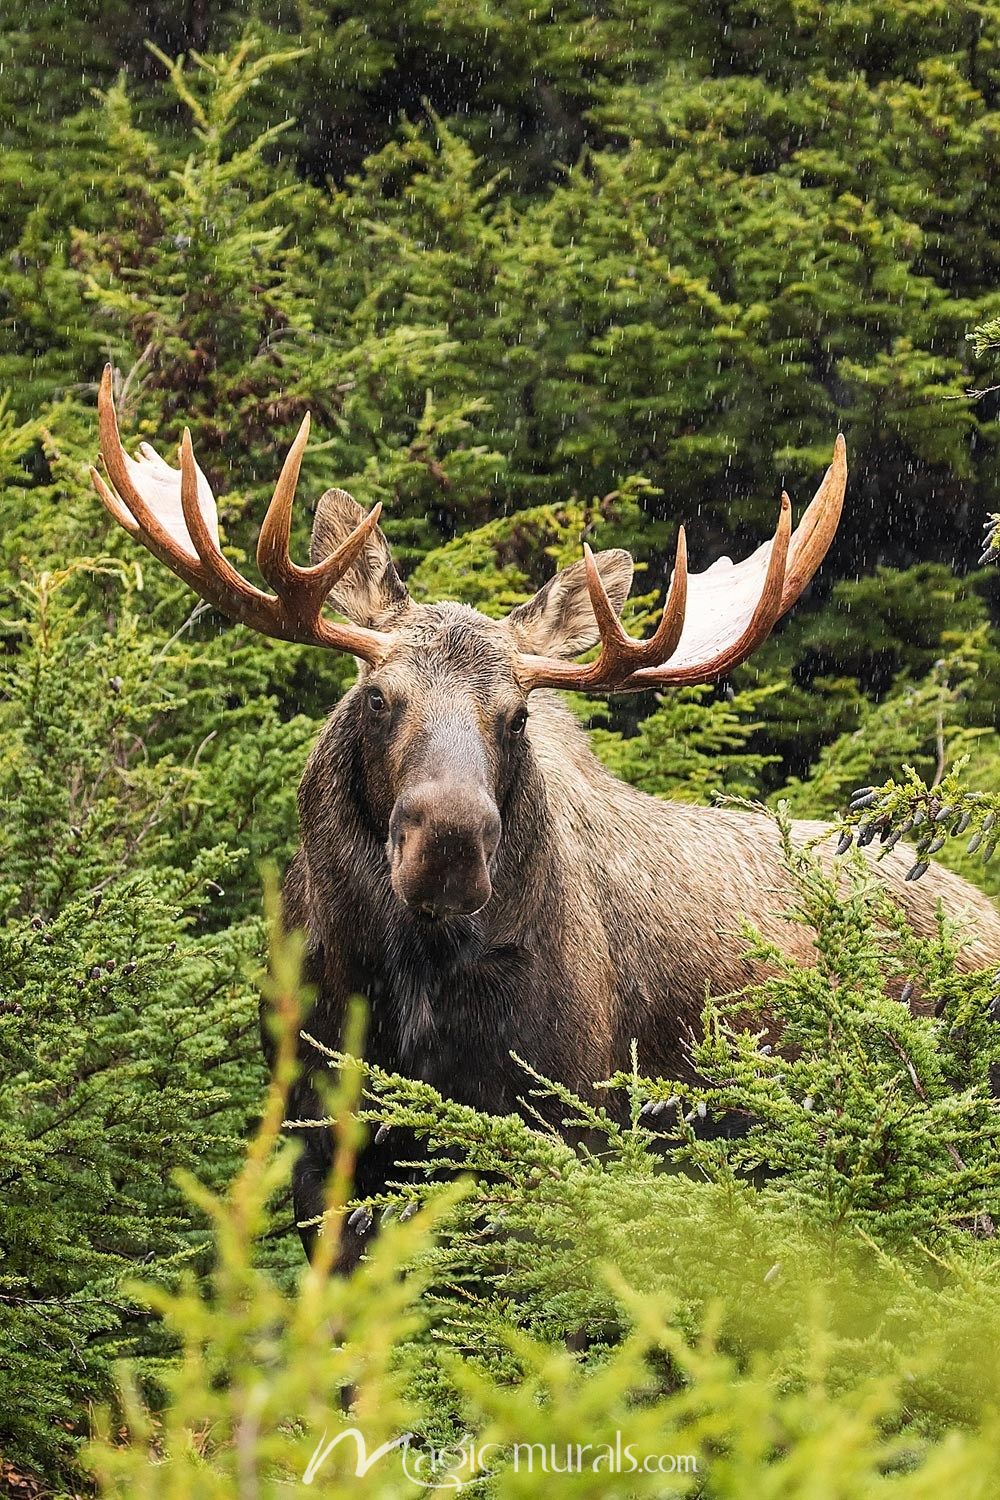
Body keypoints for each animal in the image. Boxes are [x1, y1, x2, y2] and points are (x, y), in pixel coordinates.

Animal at [91, 367, 1000, 1260]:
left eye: (518, 717)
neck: (405, 996)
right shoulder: (320, 1134)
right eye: (378, 696)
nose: (449, 843)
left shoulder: (562, 1123)